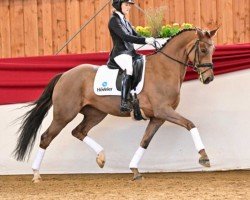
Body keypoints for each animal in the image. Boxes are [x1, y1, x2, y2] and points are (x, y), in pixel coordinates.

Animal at [13, 27, 218, 182]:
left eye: (213, 49)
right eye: (202, 50)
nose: (208, 78)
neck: (164, 68)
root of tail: (64, 75)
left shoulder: (158, 117)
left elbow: (145, 142)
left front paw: (134, 170)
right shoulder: (163, 111)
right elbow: (190, 124)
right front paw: (204, 157)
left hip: (95, 113)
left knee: (78, 131)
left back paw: (101, 157)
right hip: (64, 114)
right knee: (46, 137)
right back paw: (36, 175)